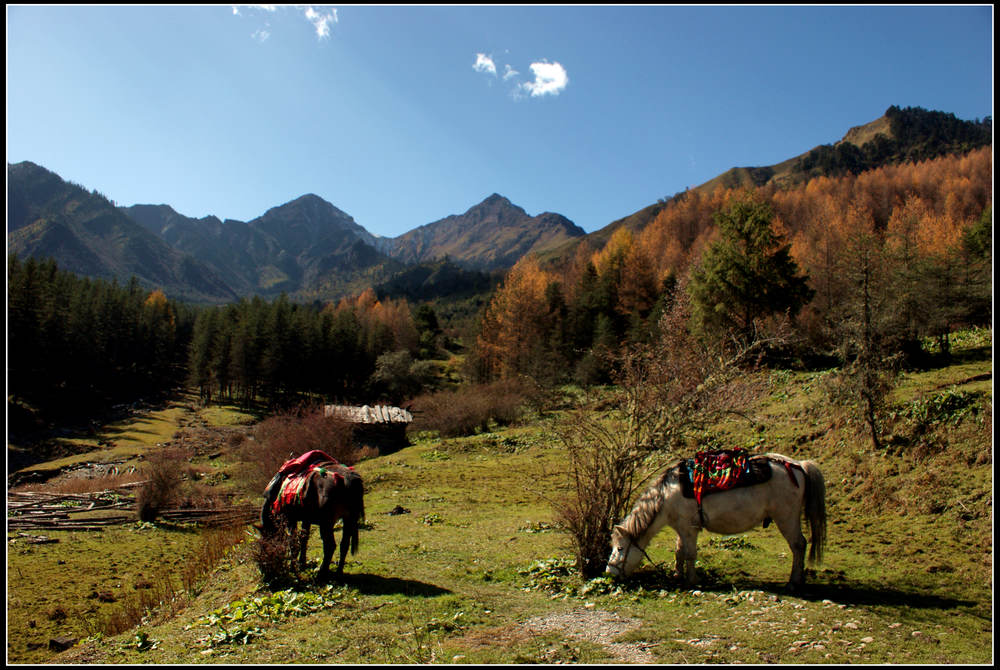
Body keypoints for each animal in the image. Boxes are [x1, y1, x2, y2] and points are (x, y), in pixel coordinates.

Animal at [604, 454, 824, 592]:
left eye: (620, 548)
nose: (610, 572)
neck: (666, 496)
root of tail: (798, 465)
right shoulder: (680, 529)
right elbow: (679, 551)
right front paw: (677, 575)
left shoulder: (689, 528)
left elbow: (690, 554)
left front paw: (692, 580)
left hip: (786, 517)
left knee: (798, 545)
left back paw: (794, 582)